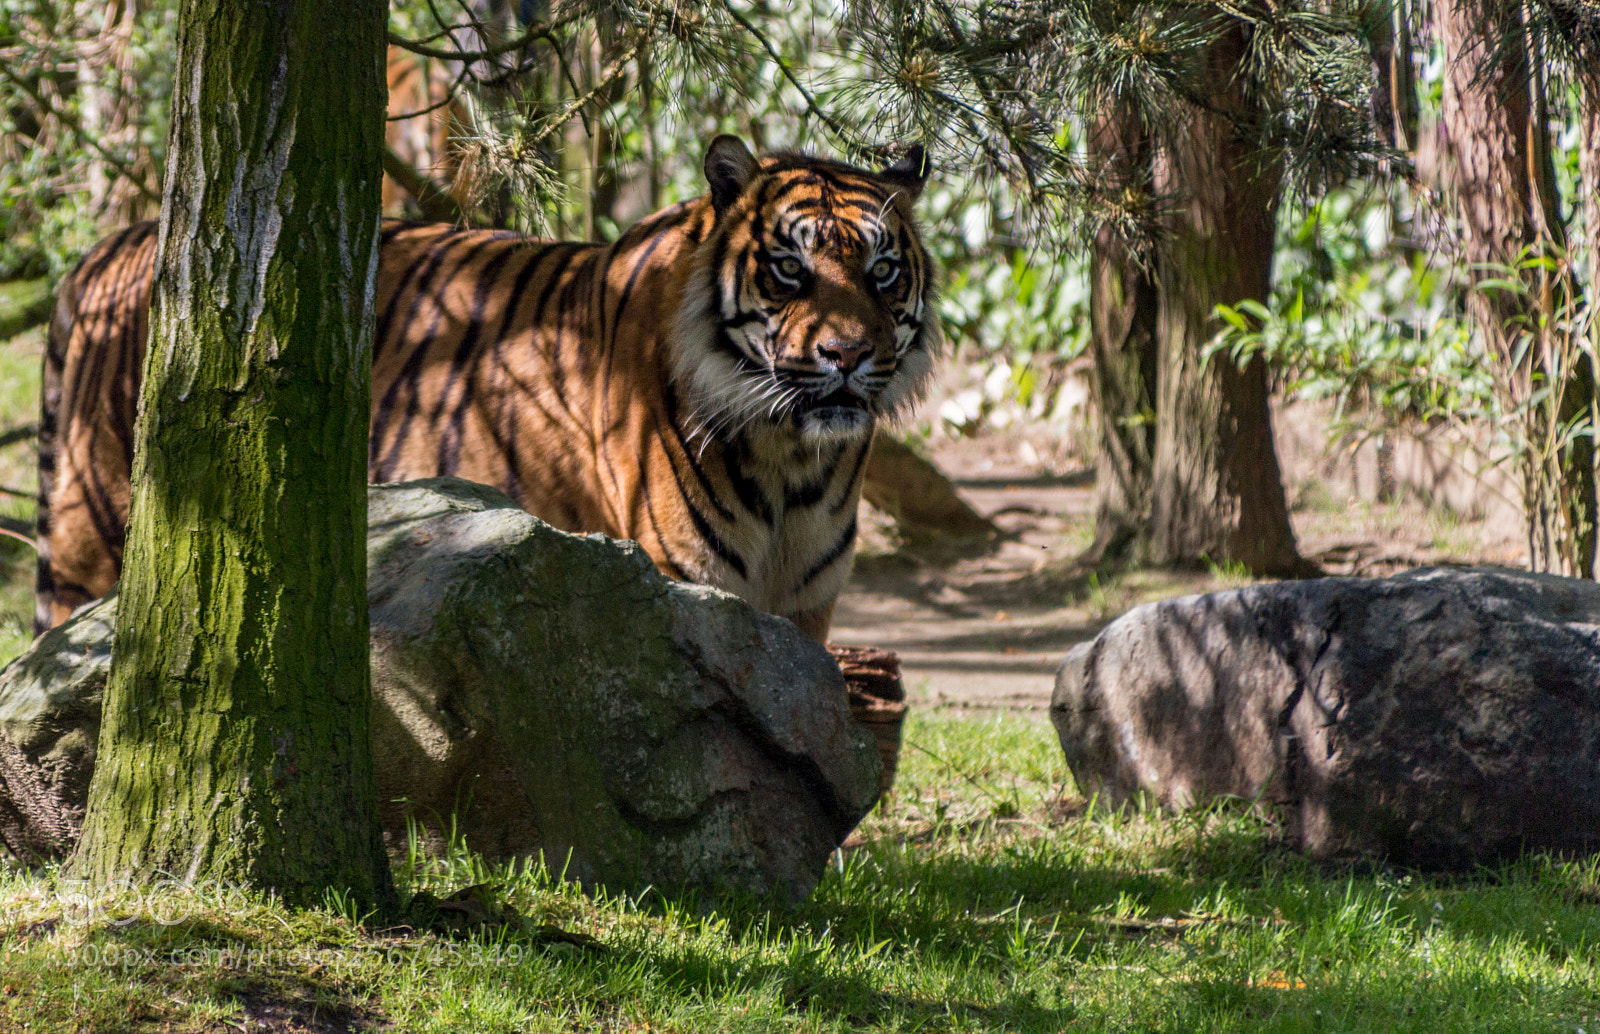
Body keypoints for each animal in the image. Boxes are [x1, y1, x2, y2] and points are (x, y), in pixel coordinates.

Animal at [36, 135, 940, 643]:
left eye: (881, 270)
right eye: (789, 269)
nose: (849, 354)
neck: (792, 460)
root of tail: (107, 248)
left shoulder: (807, 603)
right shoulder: (687, 583)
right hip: (93, 541)